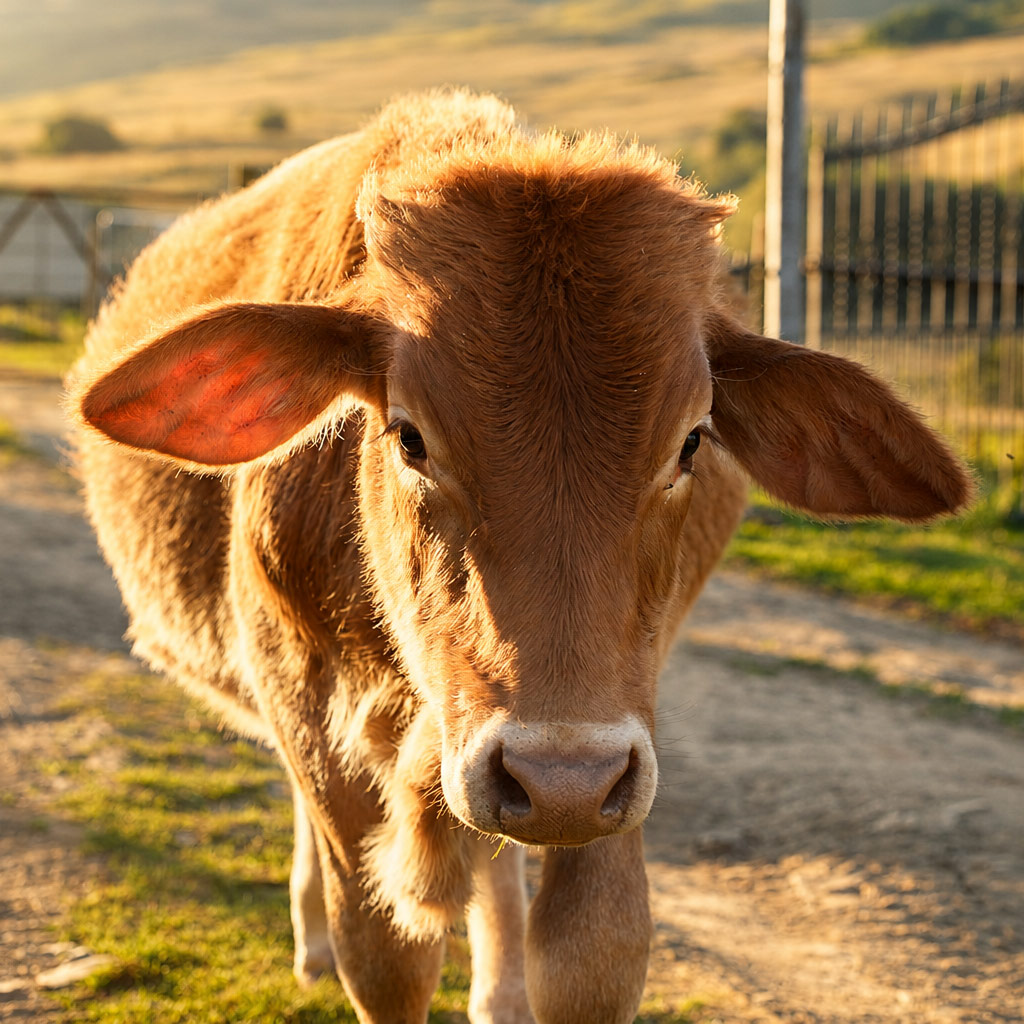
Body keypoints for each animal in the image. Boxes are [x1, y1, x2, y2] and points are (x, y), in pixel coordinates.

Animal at [67, 88, 971, 1024]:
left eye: (692, 441)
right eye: (410, 436)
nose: (556, 774)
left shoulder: (619, 743)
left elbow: (591, 953)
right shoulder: (310, 707)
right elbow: (384, 954)